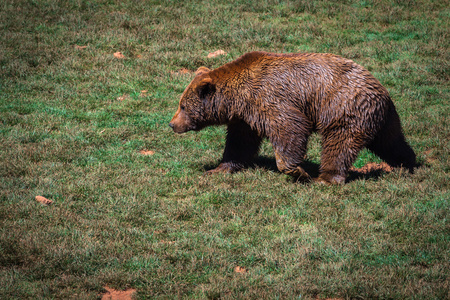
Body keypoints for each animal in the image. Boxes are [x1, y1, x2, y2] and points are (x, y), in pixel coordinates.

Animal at [170, 51, 418, 184]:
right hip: (384, 118)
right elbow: (239, 144)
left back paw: (325, 178)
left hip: (344, 107)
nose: (172, 124)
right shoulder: (245, 119)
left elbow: (290, 128)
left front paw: (297, 171)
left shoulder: (268, 98)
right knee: (391, 141)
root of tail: (380, 89)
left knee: (339, 144)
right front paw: (219, 168)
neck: (238, 99)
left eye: (183, 106)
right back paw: (407, 163)